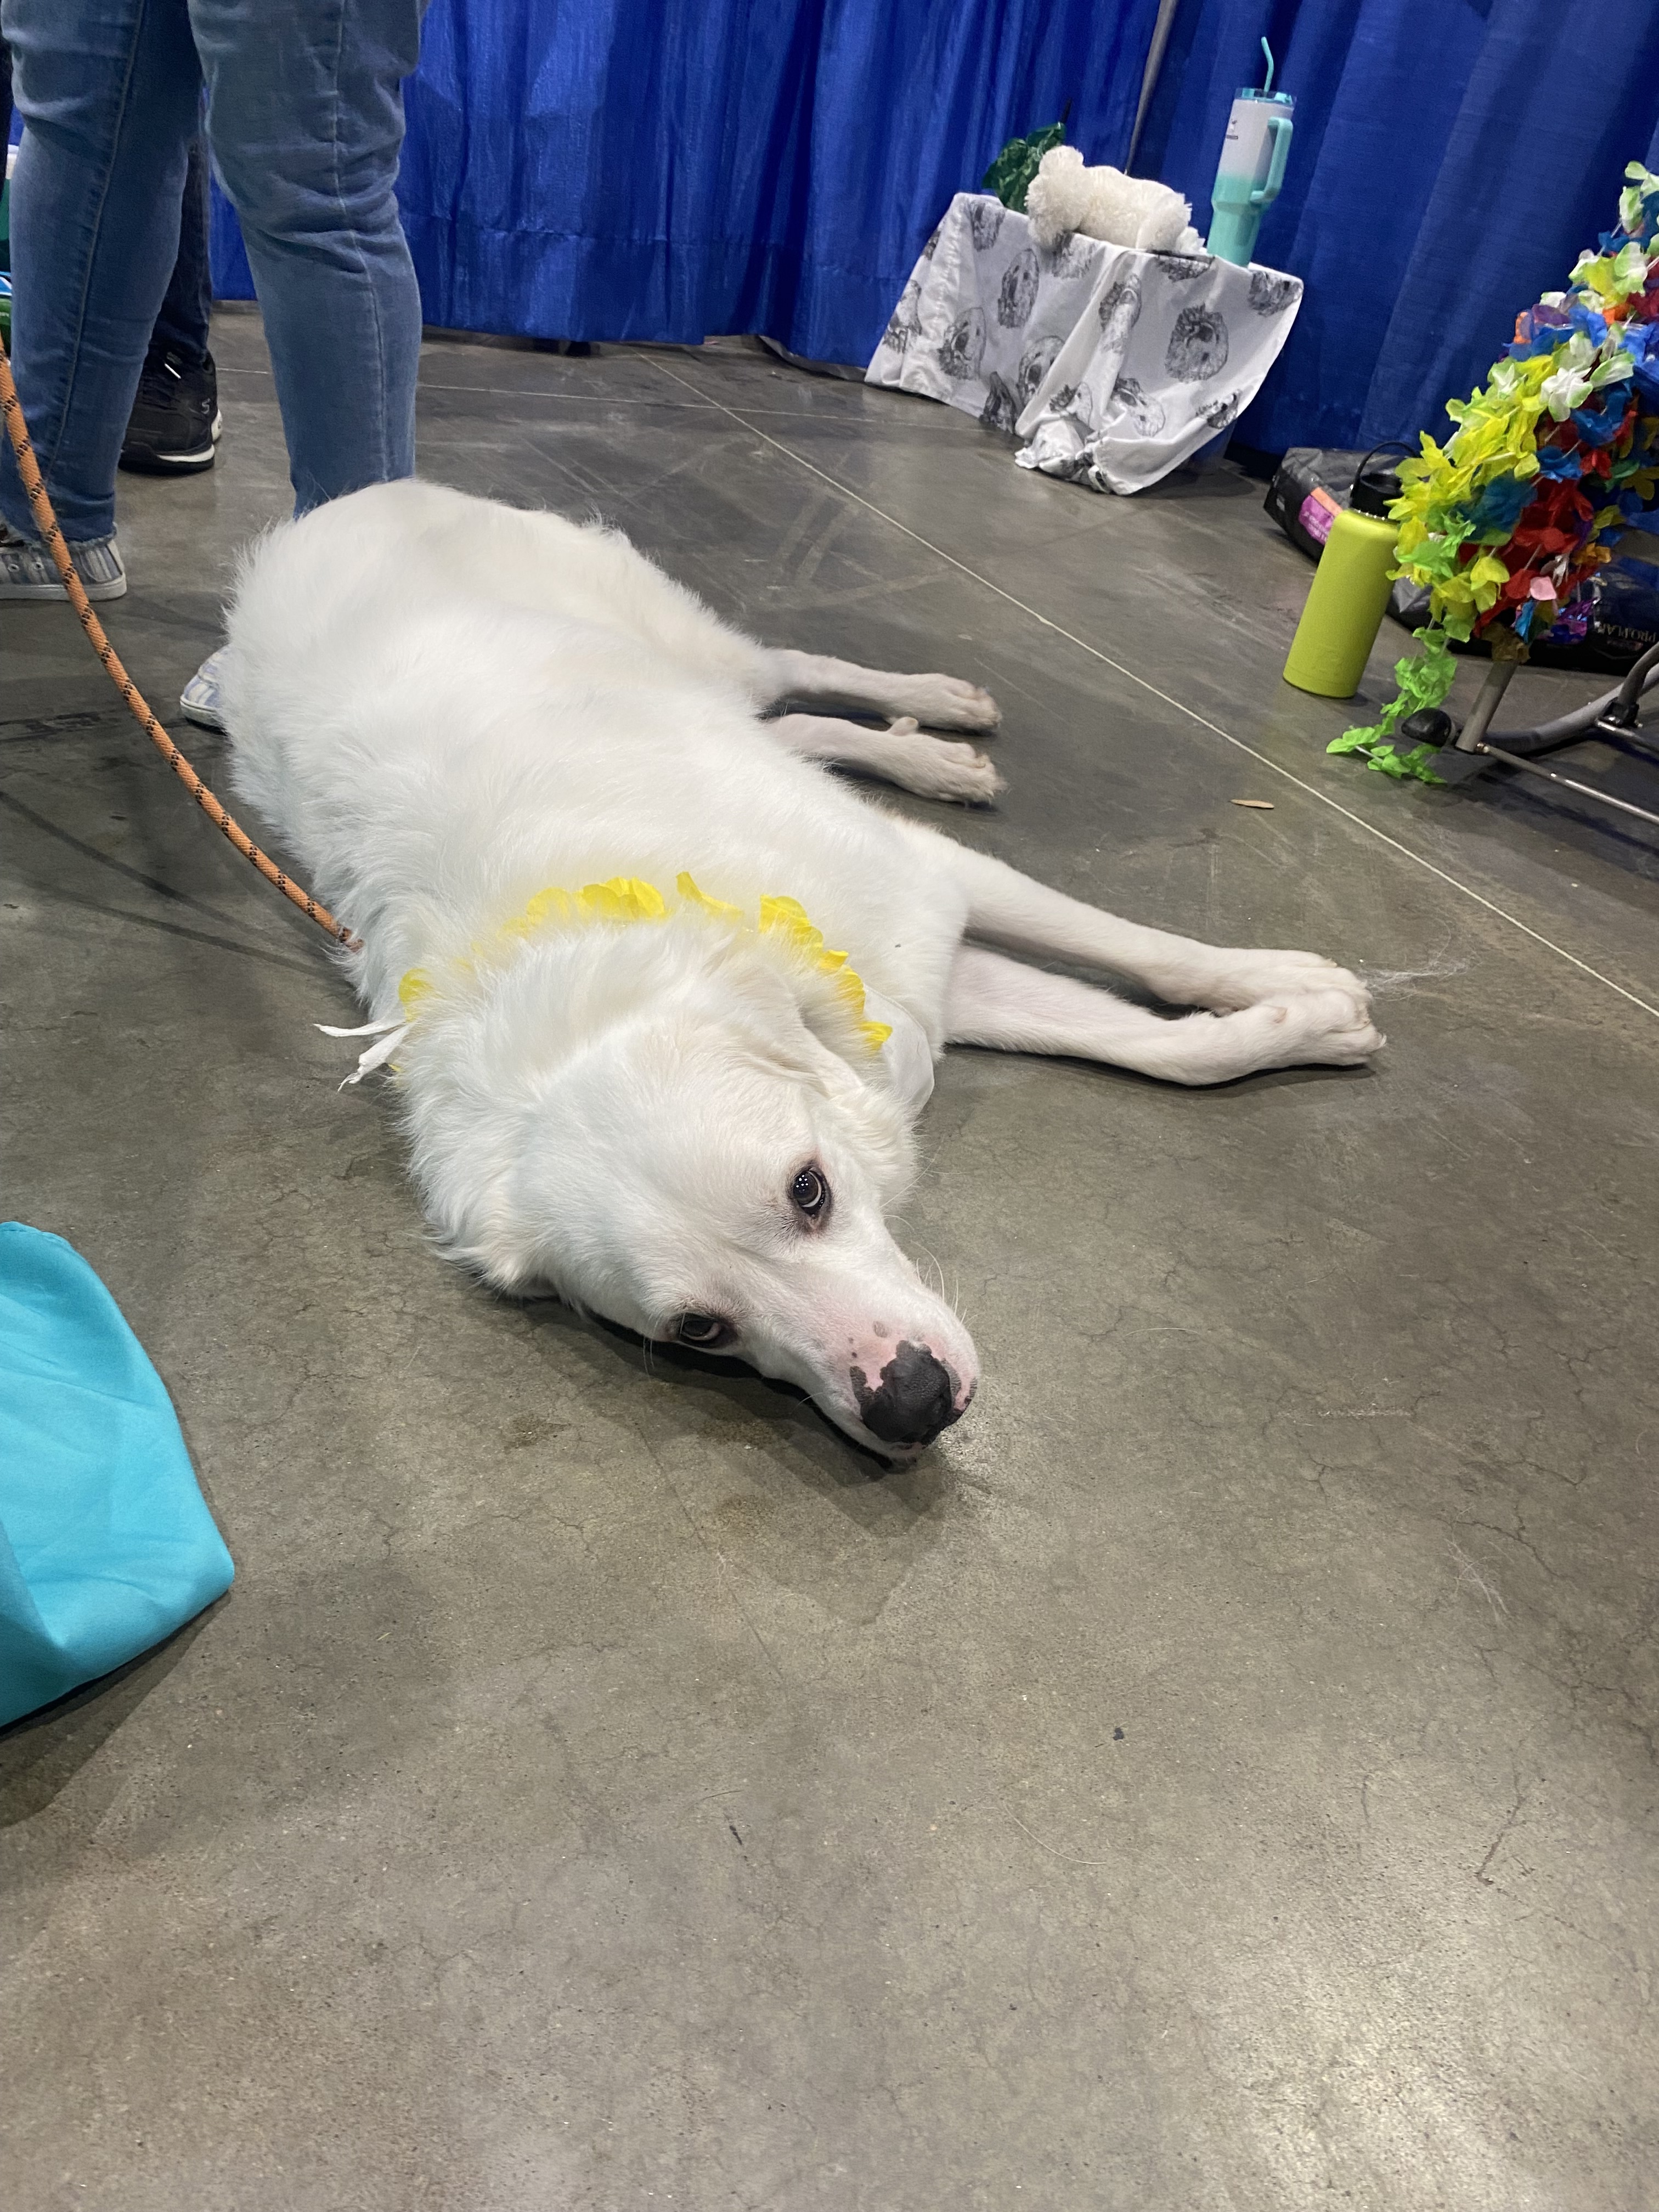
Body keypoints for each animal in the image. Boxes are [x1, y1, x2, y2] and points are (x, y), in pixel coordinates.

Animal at [224, 475, 1389, 1460]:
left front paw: (1300, 990)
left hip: (688, 641)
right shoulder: (911, 977)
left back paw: (939, 713)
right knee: (793, 724)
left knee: (792, 673)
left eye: (808, 1191)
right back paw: (925, 749)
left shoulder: (926, 892)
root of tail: (337, 505)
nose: (911, 1402)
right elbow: (1150, 1044)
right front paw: (1301, 1020)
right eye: (699, 1330)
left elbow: (1146, 961)